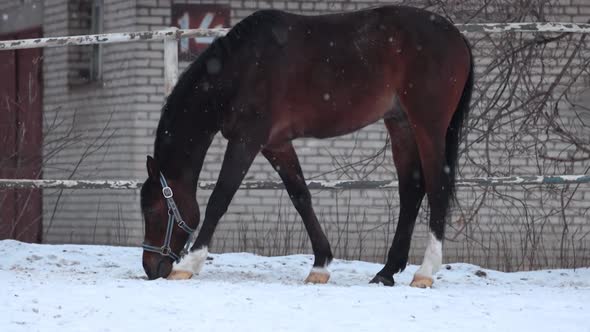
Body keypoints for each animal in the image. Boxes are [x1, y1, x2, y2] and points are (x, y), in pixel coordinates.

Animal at [141, 3, 474, 286]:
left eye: (154, 211)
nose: (151, 267)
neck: (242, 68)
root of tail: (457, 36)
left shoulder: (246, 140)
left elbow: (220, 197)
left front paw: (189, 264)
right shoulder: (275, 144)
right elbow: (300, 196)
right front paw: (320, 265)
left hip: (428, 126)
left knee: (437, 186)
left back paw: (425, 272)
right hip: (401, 125)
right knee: (411, 190)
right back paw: (387, 271)